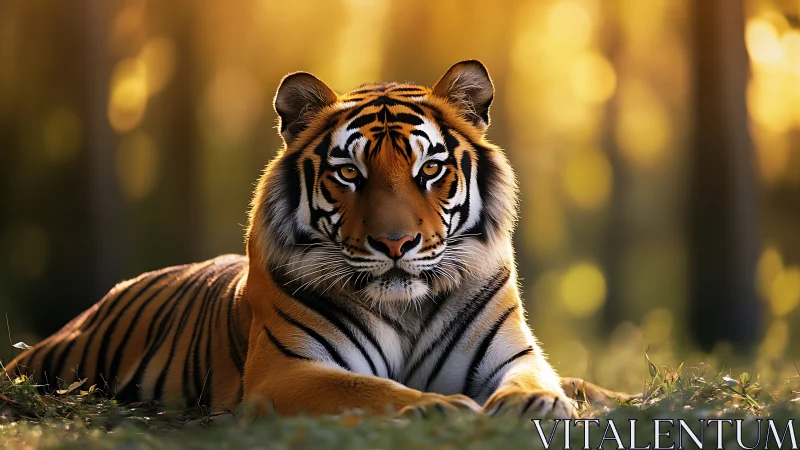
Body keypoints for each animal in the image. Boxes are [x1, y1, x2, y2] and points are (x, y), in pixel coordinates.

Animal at [5, 60, 633, 419]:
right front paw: (445, 409)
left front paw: (534, 404)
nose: (396, 244)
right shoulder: (287, 372)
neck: (406, 310)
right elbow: (374, 391)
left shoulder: (513, 354)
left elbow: (534, 379)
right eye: (349, 173)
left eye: (429, 169)